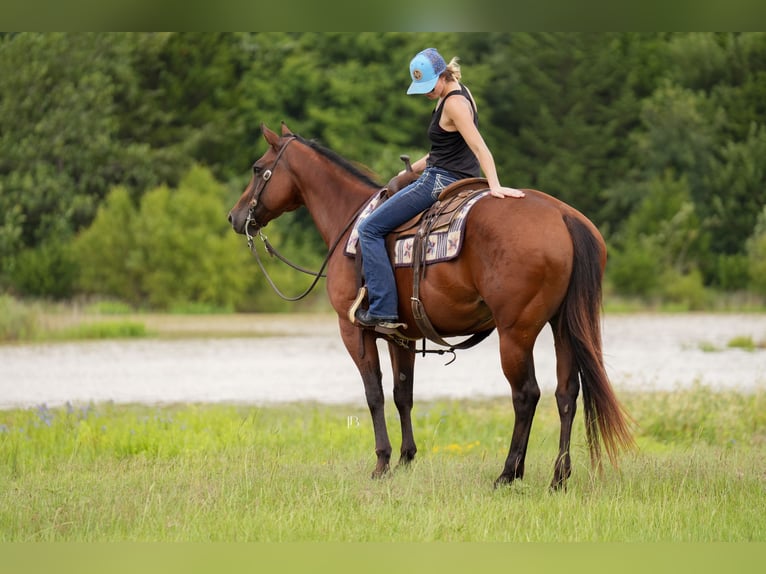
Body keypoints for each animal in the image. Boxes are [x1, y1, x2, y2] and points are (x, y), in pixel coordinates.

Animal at [228, 122, 634, 489]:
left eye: (257, 168)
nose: (235, 217)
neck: (351, 226)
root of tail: (563, 216)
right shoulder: (401, 335)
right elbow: (402, 394)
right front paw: (406, 459)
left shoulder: (354, 331)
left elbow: (374, 394)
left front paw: (382, 463)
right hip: (562, 325)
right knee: (566, 394)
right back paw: (558, 478)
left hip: (516, 332)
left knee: (526, 395)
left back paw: (508, 473)